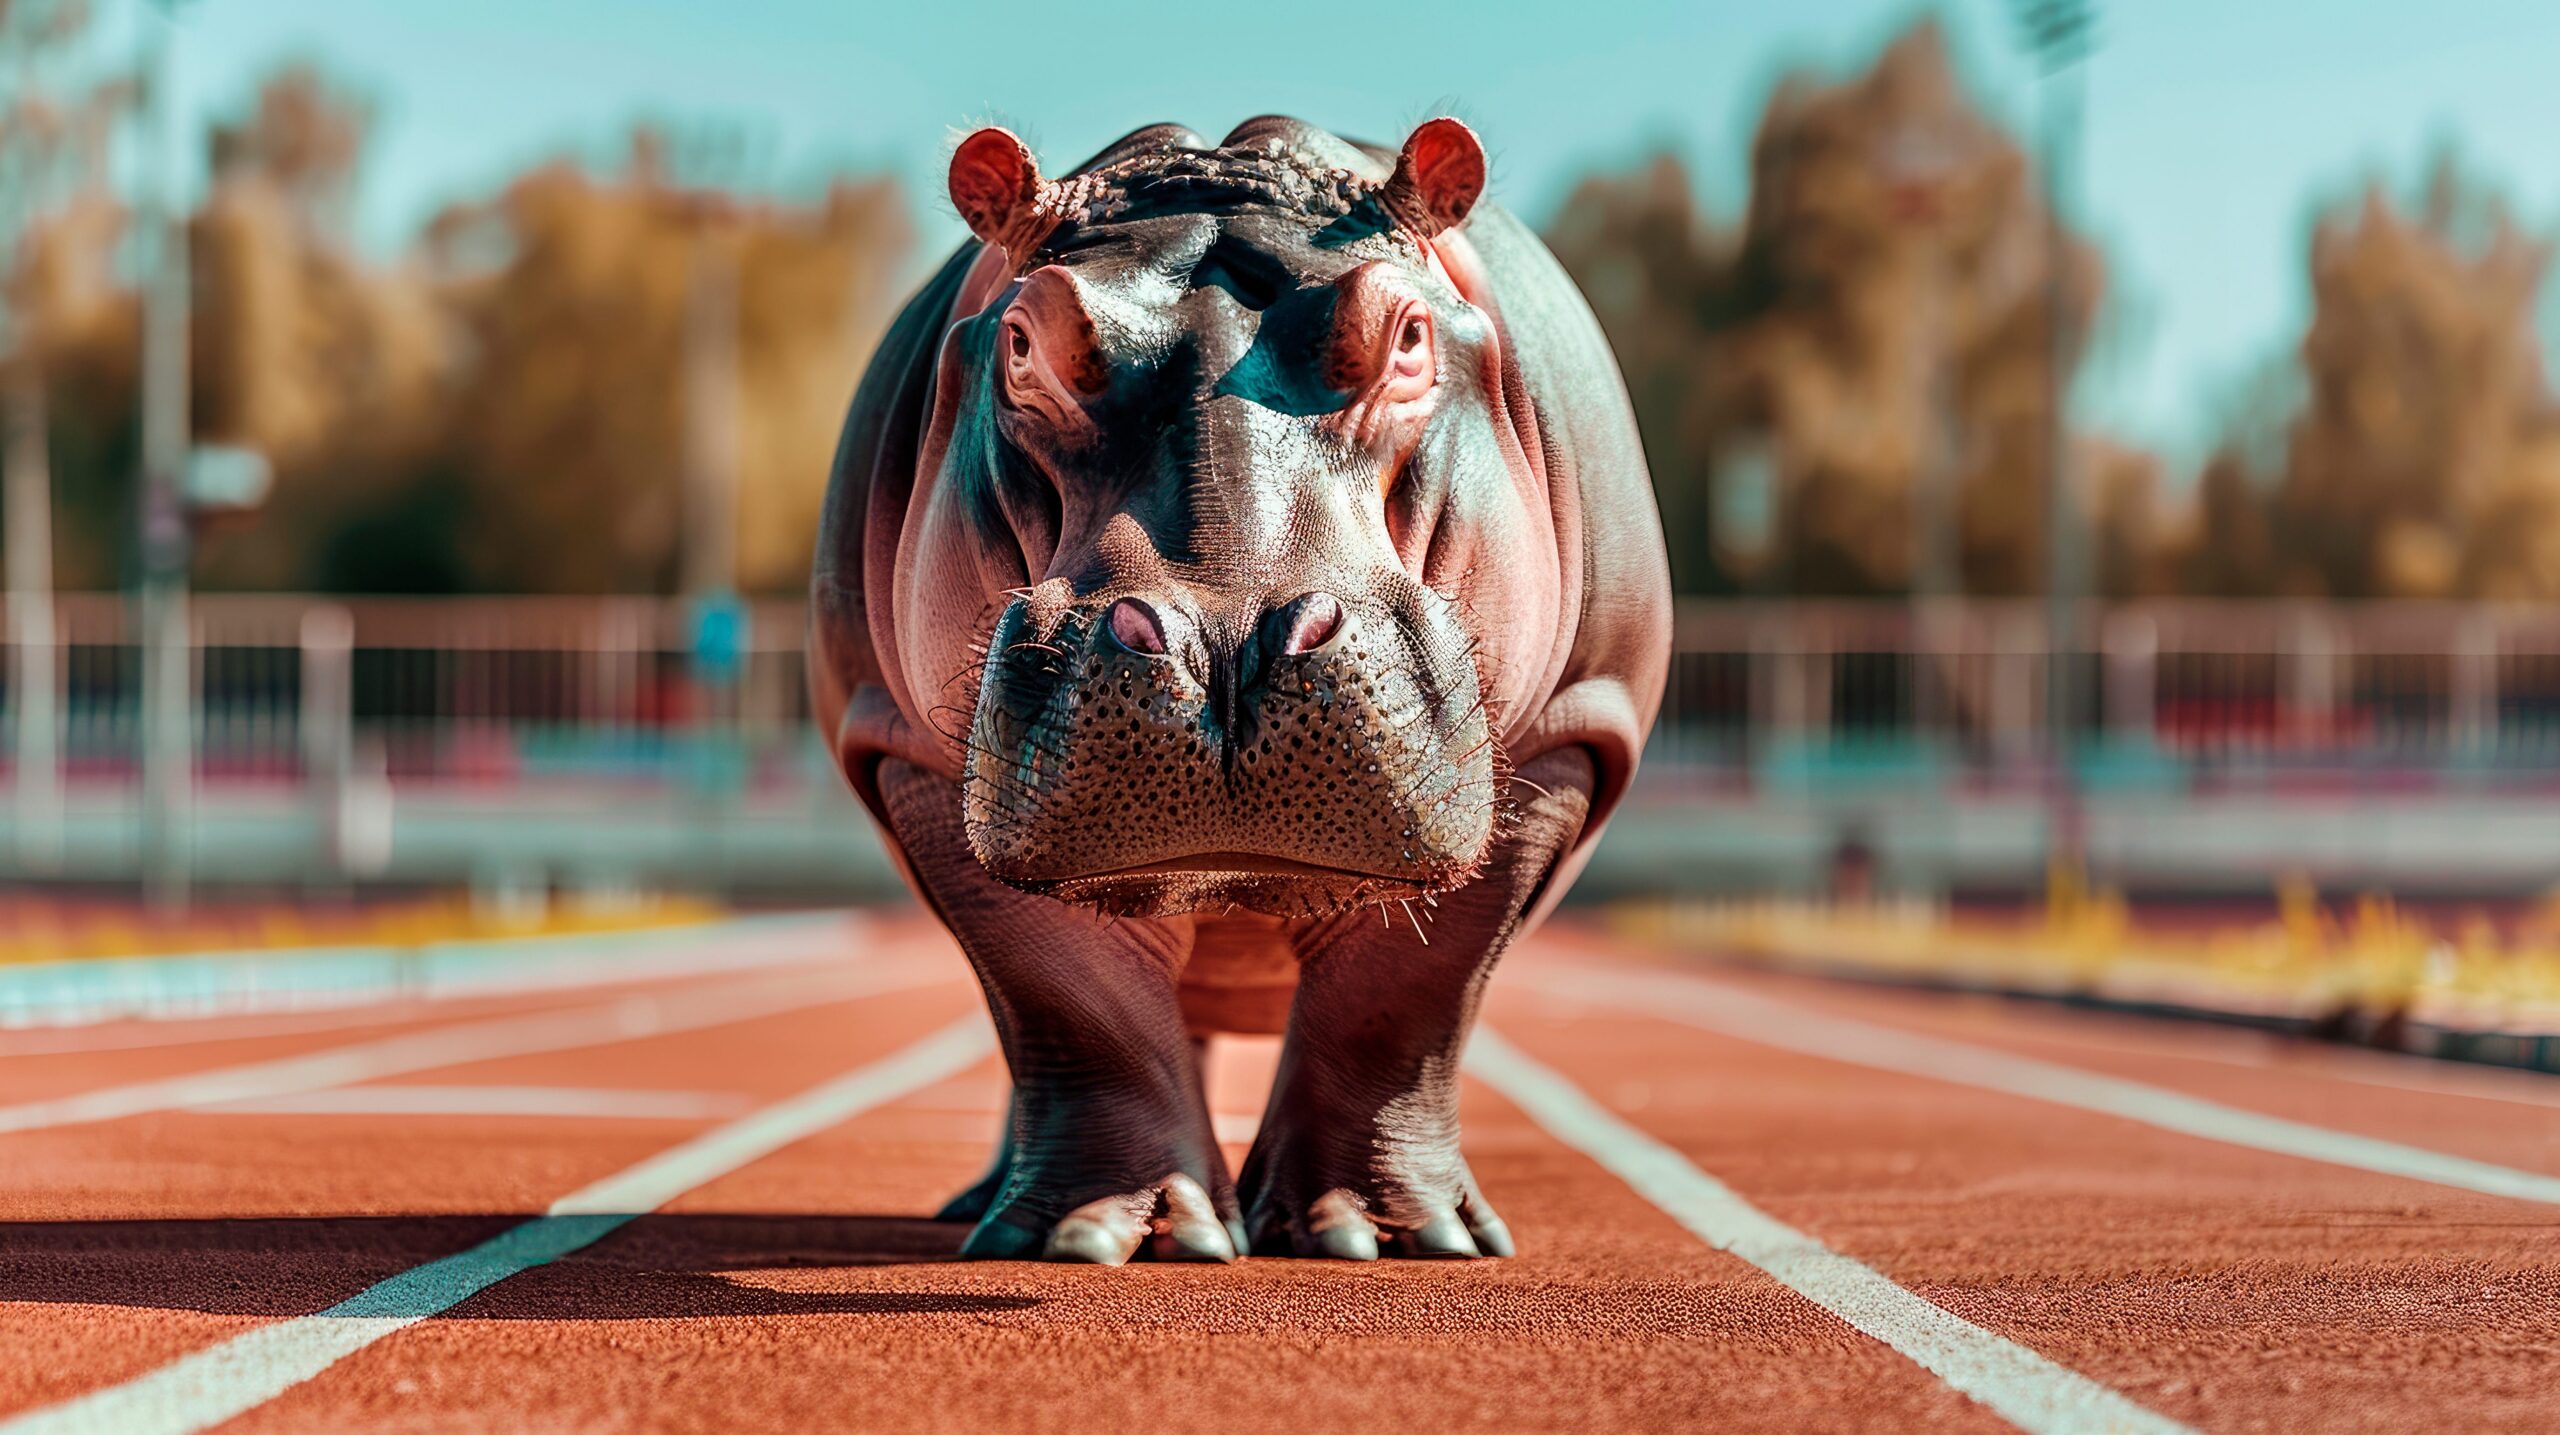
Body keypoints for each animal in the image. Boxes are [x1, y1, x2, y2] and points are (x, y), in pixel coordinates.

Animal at [809, 115, 1670, 1264]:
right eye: (1023, 343)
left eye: (1406, 337)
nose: (1225, 641)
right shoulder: (910, 753)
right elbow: (1070, 996)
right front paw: (1097, 1232)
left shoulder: (1564, 737)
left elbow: (1406, 995)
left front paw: (1383, 1233)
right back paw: (995, 1204)